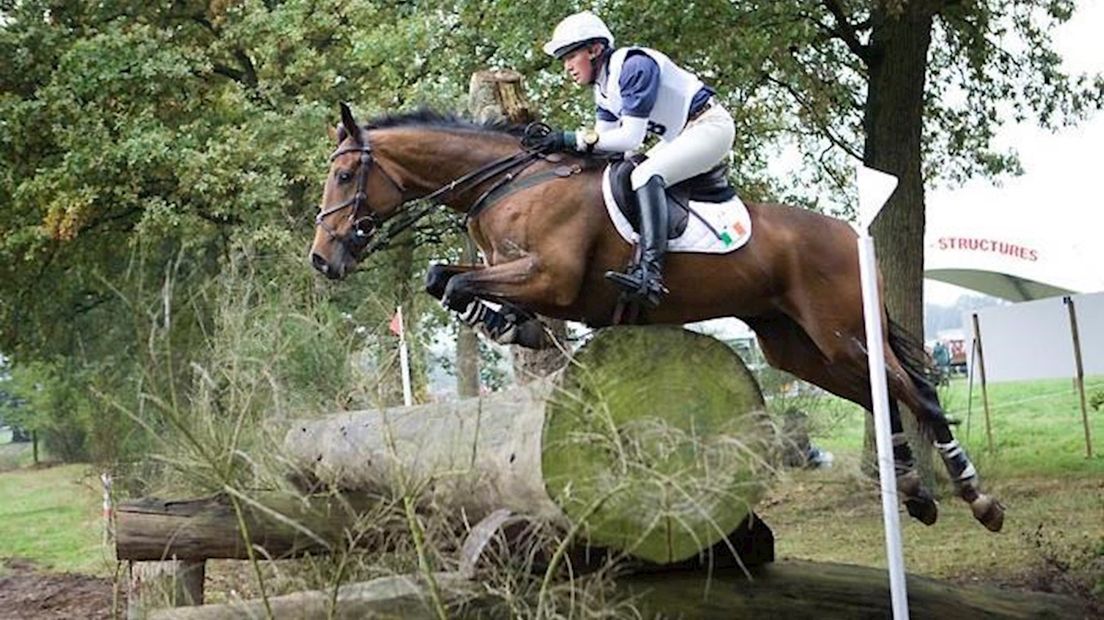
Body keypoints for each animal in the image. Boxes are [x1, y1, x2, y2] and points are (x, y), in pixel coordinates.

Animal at [306, 104, 1006, 531]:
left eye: (342, 176)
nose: (321, 258)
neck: (508, 183)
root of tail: (849, 235)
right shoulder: (522, 274)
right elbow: (441, 278)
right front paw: (508, 321)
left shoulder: (551, 277)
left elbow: (455, 281)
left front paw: (508, 320)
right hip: (796, 346)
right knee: (878, 394)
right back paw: (916, 495)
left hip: (843, 331)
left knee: (915, 390)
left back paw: (978, 498)